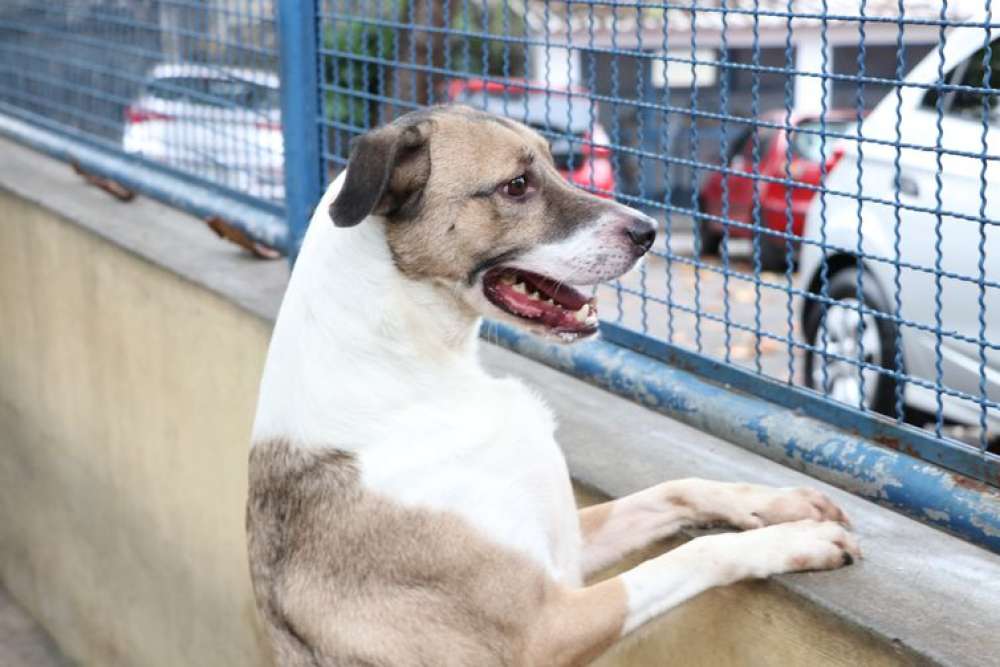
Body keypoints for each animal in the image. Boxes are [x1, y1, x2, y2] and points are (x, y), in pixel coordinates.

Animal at [248, 107, 860, 664]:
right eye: (517, 185)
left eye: (554, 162)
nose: (650, 232)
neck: (420, 371)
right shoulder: (546, 627)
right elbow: (694, 556)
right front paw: (796, 542)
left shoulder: (569, 545)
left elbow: (673, 489)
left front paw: (775, 505)